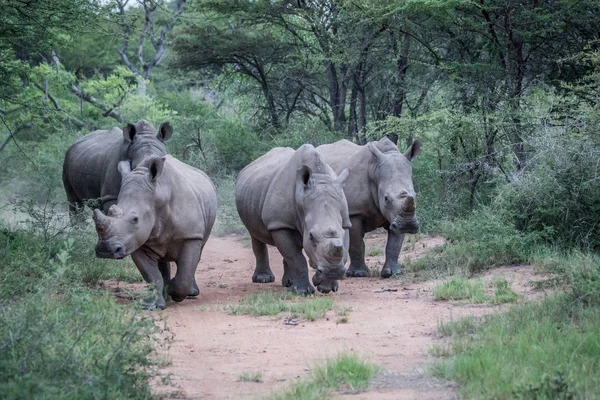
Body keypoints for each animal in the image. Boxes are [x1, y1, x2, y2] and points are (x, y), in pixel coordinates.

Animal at [92, 154, 217, 310]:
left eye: (135, 219)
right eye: (110, 212)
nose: (105, 250)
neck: (158, 196)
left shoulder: (191, 236)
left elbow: (185, 272)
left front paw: (175, 292)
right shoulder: (136, 240)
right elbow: (151, 275)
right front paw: (152, 305)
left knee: (197, 254)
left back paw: (189, 293)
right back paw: (165, 293)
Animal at [234, 145, 352, 294]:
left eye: (342, 233)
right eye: (311, 236)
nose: (334, 272)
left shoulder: (345, 221)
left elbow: (343, 249)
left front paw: (327, 288)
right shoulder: (279, 223)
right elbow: (296, 258)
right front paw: (303, 292)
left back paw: (289, 283)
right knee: (255, 234)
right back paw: (264, 279)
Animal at [318, 138, 422, 278]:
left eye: (415, 195)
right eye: (386, 198)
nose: (408, 225)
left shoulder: (397, 216)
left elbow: (394, 244)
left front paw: (392, 273)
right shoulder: (354, 212)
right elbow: (357, 244)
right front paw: (358, 274)